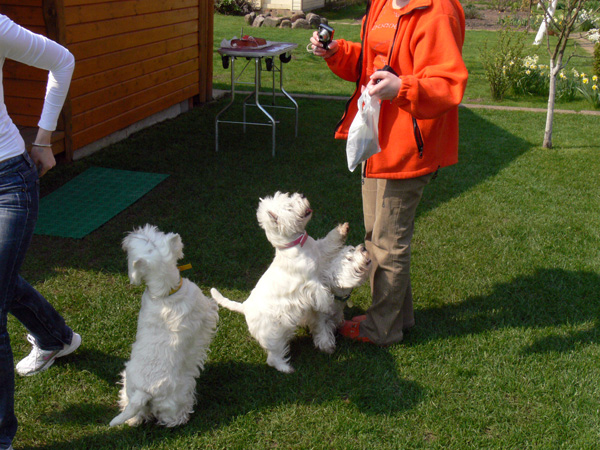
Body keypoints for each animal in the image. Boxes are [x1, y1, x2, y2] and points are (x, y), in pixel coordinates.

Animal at [110, 224, 218, 427]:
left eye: (149, 236)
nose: (131, 233)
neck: (164, 293)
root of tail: (144, 392)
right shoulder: (204, 309)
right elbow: (212, 307)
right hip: (177, 396)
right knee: (172, 417)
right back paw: (183, 418)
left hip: (129, 389)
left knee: (134, 413)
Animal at [211, 192, 369, 373]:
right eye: (290, 206)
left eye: (289, 197)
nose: (302, 195)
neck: (299, 245)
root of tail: (245, 306)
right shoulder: (309, 281)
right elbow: (321, 294)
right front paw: (327, 305)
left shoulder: (321, 249)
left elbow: (330, 240)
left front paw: (342, 229)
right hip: (273, 334)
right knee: (273, 356)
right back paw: (286, 368)